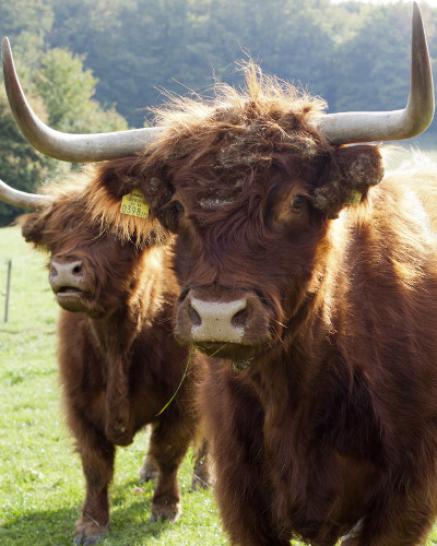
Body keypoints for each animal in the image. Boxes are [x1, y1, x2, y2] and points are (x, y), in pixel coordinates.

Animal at [0, 2, 436, 540]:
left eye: (297, 201)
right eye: (176, 208)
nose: (215, 315)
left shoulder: (406, 498)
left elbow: (169, 445)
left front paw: (165, 506)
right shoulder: (236, 486)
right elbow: (97, 462)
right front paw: (92, 526)